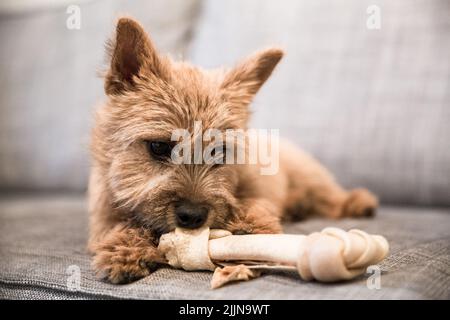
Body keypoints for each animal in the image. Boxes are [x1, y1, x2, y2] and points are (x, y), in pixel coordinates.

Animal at [88, 18, 376, 282]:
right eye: (159, 147)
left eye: (219, 151)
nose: (192, 216)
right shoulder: (102, 213)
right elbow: (118, 224)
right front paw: (125, 250)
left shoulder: (262, 187)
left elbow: (258, 204)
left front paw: (251, 228)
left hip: (310, 178)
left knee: (330, 197)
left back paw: (358, 202)